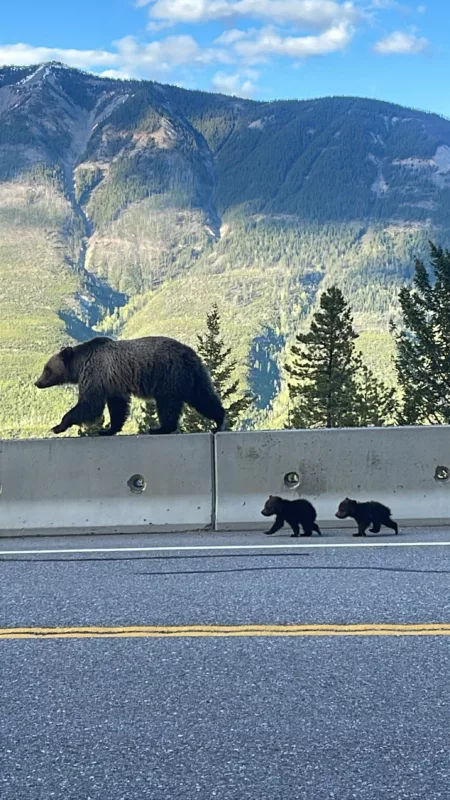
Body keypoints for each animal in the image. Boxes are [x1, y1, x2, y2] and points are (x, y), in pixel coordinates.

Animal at [33, 334, 227, 434]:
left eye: (47, 369)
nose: (37, 382)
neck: (80, 364)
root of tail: (189, 353)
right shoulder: (113, 384)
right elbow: (117, 407)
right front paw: (109, 429)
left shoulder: (95, 373)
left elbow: (90, 404)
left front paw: (58, 426)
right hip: (194, 376)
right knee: (204, 397)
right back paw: (219, 420)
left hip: (168, 375)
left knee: (168, 404)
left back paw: (160, 428)